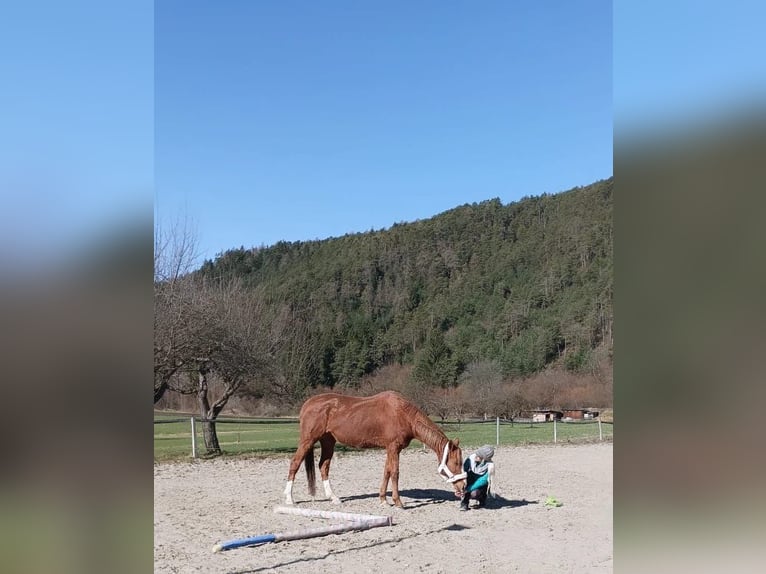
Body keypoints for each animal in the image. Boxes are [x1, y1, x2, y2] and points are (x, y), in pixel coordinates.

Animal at [284, 392, 468, 508]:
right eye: (456, 462)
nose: (464, 486)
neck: (403, 414)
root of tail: (308, 404)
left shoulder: (391, 449)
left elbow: (386, 472)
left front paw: (383, 500)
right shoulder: (393, 448)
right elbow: (395, 473)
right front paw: (398, 502)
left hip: (328, 441)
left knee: (323, 466)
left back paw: (334, 498)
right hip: (308, 440)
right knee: (295, 463)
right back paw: (289, 499)